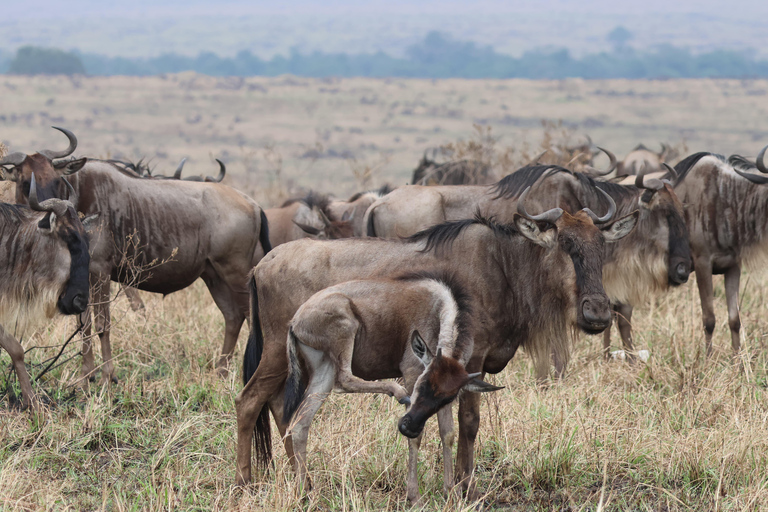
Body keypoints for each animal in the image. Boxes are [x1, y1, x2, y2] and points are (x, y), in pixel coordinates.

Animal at [0, 178, 91, 410]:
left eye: (86, 240)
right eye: (69, 239)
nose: (80, 302)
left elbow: (15, 348)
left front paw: (30, 401)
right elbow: (15, 347)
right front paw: (32, 402)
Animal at [280, 274, 498, 502]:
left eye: (446, 398)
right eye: (422, 384)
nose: (408, 426)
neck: (440, 311)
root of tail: (295, 321)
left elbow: (447, 433)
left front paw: (451, 492)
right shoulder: (411, 371)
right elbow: (417, 438)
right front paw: (414, 496)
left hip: (324, 368)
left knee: (301, 423)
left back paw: (303, 492)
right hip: (346, 331)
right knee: (345, 380)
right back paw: (398, 392)